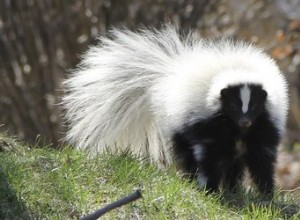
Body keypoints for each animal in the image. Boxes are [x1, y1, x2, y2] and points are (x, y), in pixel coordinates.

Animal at [62, 24, 288, 195]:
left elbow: (262, 159)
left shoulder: (264, 126)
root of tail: (170, 76)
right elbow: (211, 156)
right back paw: (196, 180)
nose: (244, 121)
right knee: (189, 154)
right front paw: (209, 189)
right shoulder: (208, 124)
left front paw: (266, 195)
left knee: (234, 163)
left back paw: (233, 189)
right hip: (179, 126)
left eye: (255, 106)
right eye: (233, 105)